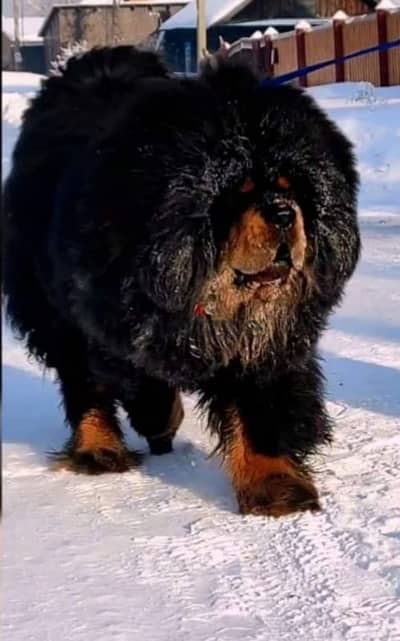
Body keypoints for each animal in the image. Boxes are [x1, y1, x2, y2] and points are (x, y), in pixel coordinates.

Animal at [3, 46, 360, 516]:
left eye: (292, 187)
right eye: (239, 191)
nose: (284, 213)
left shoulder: (264, 344)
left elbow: (263, 411)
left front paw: (276, 487)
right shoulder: (120, 326)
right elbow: (143, 385)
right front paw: (159, 422)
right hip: (54, 312)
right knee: (84, 385)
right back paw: (98, 449)